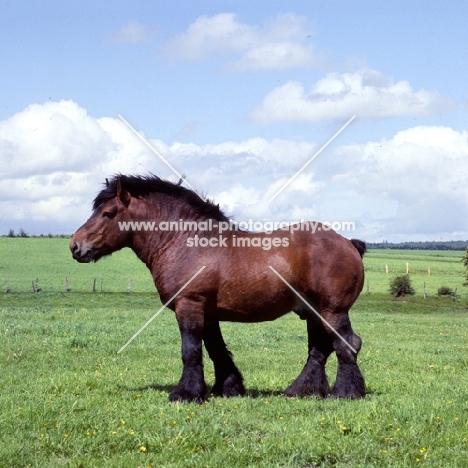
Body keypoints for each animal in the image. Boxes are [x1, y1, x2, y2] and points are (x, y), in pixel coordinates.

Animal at [69, 175, 366, 402]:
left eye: (107, 213)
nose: (75, 246)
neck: (186, 241)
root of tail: (349, 243)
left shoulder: (189, 305)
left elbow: (191, 351)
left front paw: (185, 394)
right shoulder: (209, 314)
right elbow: (217, 351)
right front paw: (229, 388)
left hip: (333, 311)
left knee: (347, 344)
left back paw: (345, 393)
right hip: (314, 313)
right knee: (319, 350)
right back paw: (301, 390)